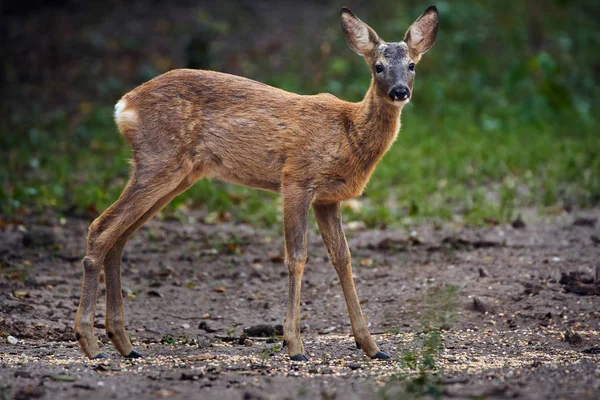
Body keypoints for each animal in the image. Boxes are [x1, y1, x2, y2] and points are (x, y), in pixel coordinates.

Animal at [75, 5, 438, 362]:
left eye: (412, 65)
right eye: (378, 67)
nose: (400, 91)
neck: (348, 133)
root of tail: (124, 106)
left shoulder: (328, 198)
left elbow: (343, 259)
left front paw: (373, 347)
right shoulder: (295, 178)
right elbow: (297, 256)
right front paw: (294, 346)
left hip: (174, 175)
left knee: (118, 237)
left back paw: (124, 343)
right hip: (158, 161)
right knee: (100, 227)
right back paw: (90, 342)